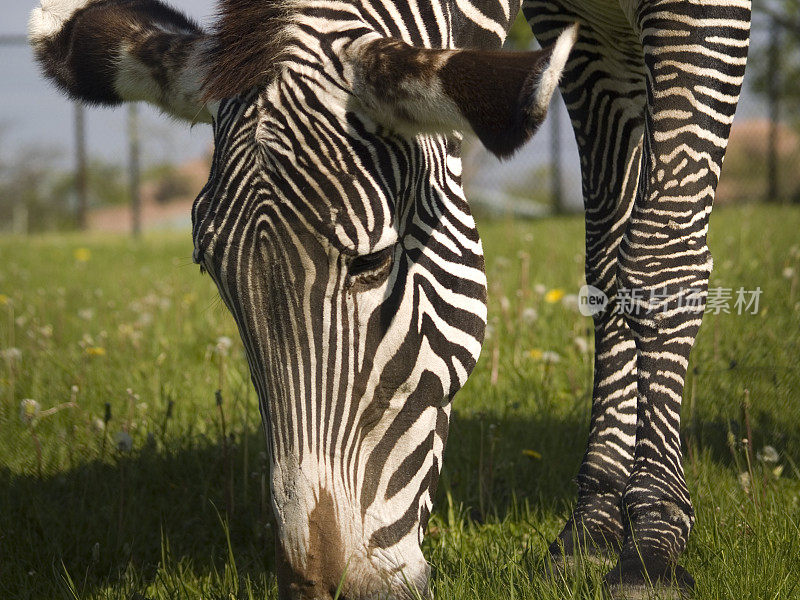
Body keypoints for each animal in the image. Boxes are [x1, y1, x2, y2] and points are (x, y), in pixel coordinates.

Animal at [26, 0, 752, 596]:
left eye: (372, 261)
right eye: (210, 271)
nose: (322, 588)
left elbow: (658, 254)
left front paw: (652, 544)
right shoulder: (572, 21)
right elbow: (608, 256)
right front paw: (595, 525)